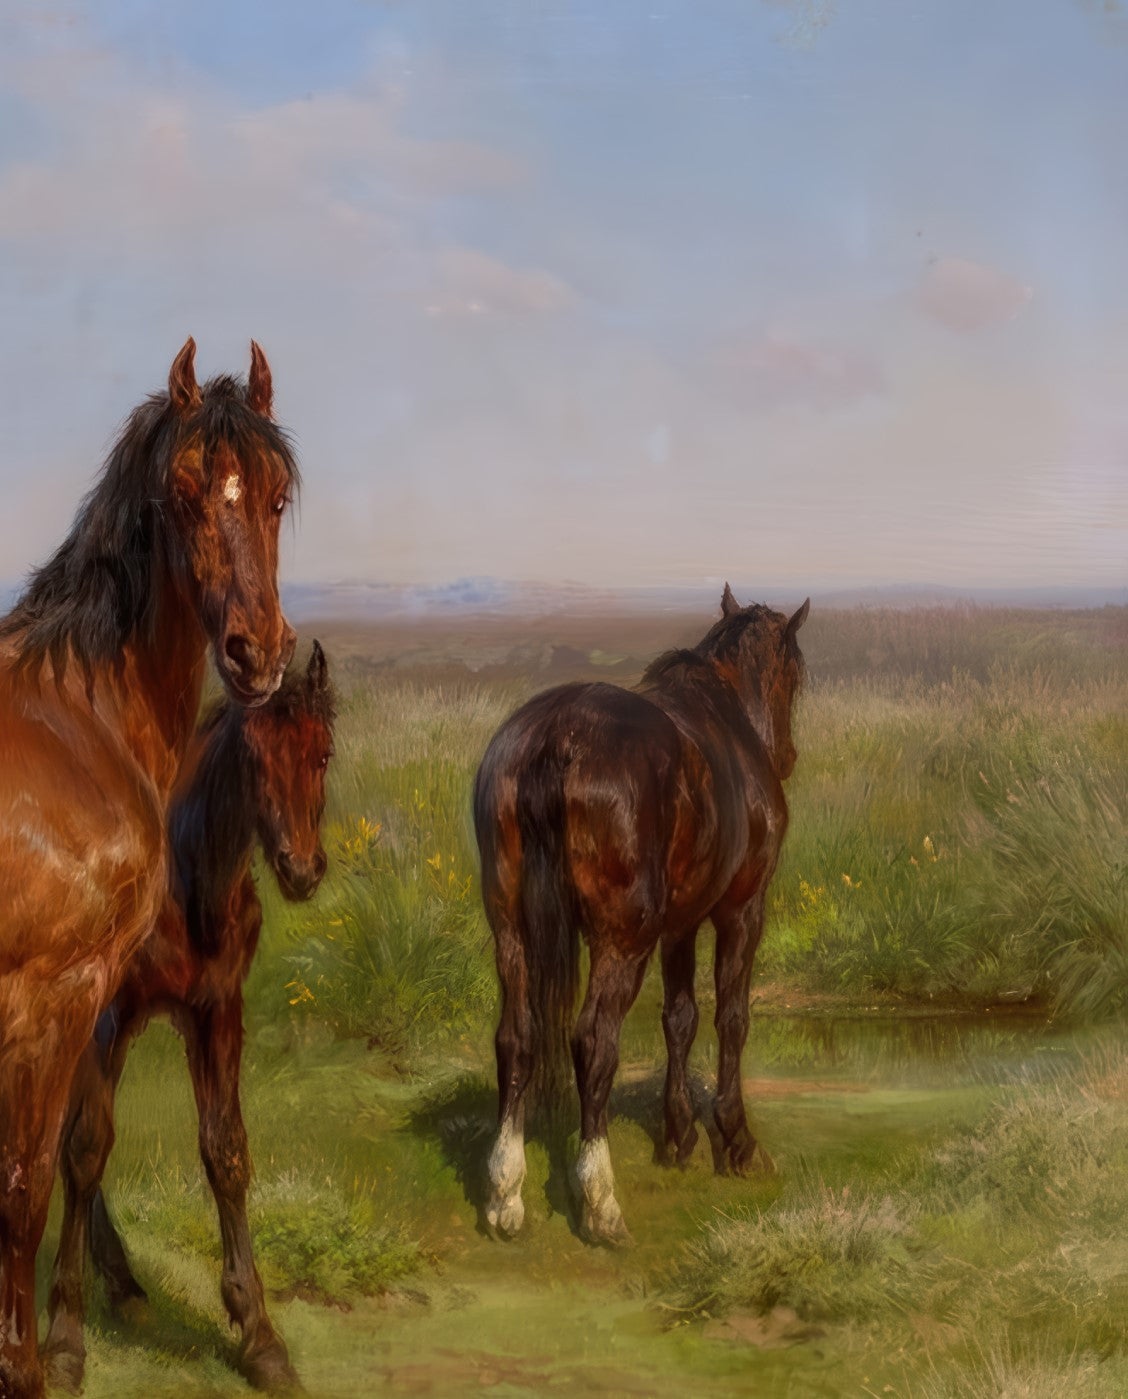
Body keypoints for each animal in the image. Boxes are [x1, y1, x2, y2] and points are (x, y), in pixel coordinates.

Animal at [0, 340, 298, 1399]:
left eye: (278, 496)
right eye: (183, 491)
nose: (256, 651)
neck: (74, 719)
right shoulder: (58, 995)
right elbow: (28, 1185)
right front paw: (32, 1362)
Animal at [43, 641, 335, 1393]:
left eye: (323, 752)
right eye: (254, 756)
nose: (299, 868)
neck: (189, 883)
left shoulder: (216, 1012)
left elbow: (225, 1150)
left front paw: (259, 1336)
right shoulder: (107, 1020)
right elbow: (86, 1149)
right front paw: (63, 1341)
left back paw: (124, 1283)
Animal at [473, 586, 809, 1245]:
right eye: (797, 674)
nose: (785, 756)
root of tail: (555, 736)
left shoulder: (680, 924)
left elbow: (679, 1019)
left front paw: (678, 1135)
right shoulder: (740, 912)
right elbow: (731, 1019)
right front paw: (734, 1140)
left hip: (511, 932)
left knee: (516, 1038)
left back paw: (504, 1193)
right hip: (623, 940)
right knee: (593, 1042)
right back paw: (600, 1201)